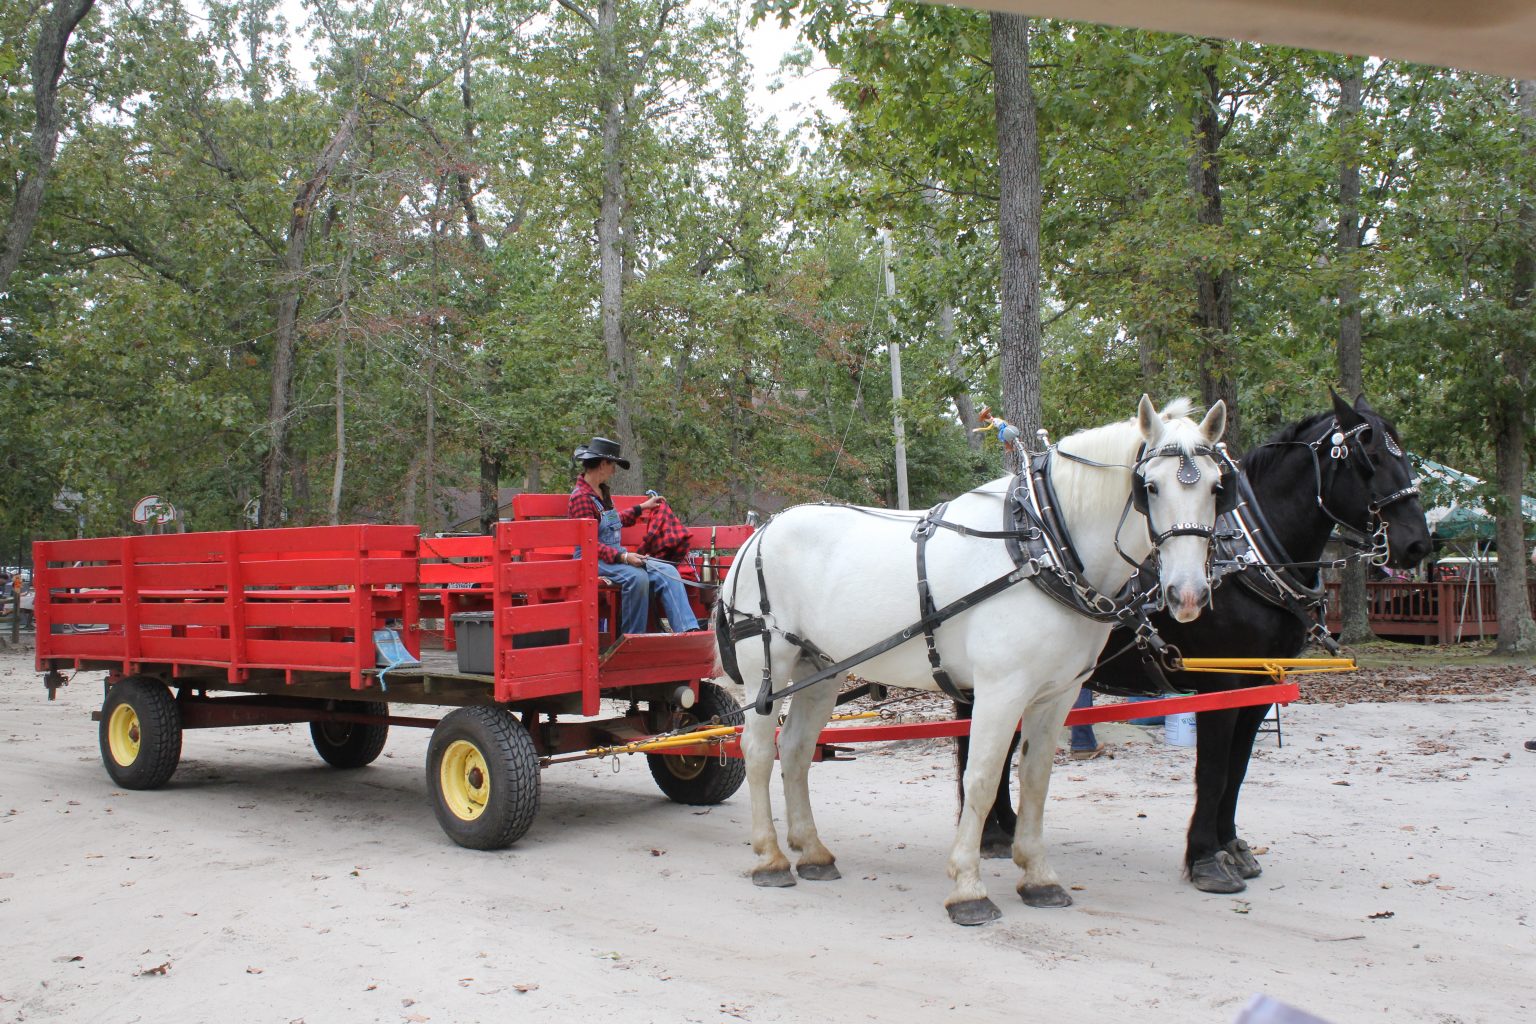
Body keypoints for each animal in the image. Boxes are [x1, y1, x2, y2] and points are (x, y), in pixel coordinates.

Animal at [718, 396, 1234, 927]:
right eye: (1149, 487)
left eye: (1218, 487)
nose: (1188, 593)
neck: (1040, 544)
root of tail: (758, 533)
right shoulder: (1000, 690)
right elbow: (982, 778)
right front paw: (968, 886)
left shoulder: (1058, 695)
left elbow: (1036, 779)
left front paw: (1038, 877)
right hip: (768, 668)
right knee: (758, 751)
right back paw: (770, 857)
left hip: (819, 670)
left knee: (797, 750)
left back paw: (813, 851)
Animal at [964, 393, 1431, 896]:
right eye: (1371, 458)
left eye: (1403, 454)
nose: (1418, 544)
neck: (1246, 556)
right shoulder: (1220, 683)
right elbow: (1213, 770)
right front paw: (1206, 857)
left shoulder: (1257, 688)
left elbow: (1238, 769)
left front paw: (1232, 846)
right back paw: (993, 833)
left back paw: (1000, 828)